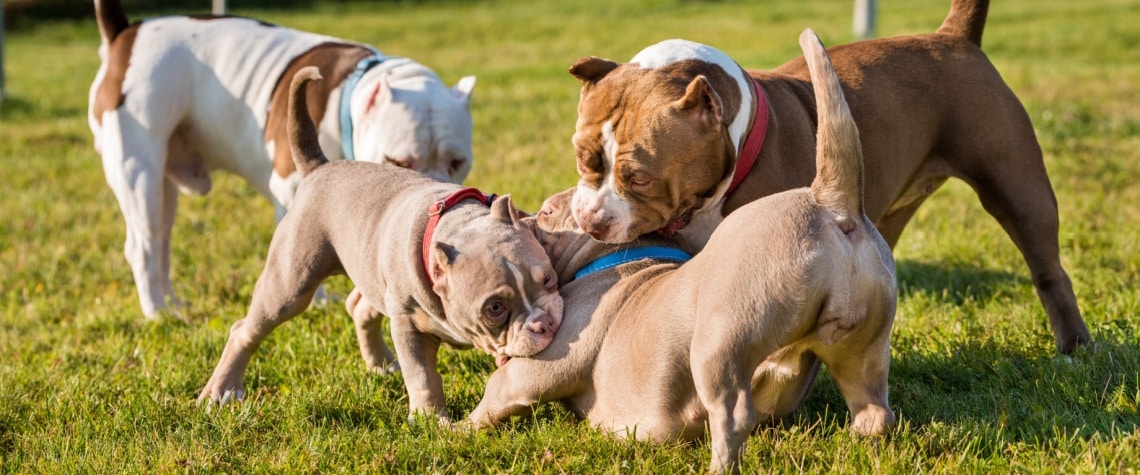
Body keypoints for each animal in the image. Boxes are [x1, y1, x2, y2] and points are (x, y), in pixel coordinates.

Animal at [88, 0, 476, 318]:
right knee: (143, 244)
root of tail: (125, 34)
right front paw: (319, 303)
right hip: (138, 172)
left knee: (162, 240)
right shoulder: (292, 189)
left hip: (163, 183)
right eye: (399, 161)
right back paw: (157, 312)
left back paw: (173, 304)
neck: (347, 98)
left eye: (457, 162)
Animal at [201, 66, 565, 421]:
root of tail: (318, 168)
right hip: (290, 283)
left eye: (549, 278)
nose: (544, 323)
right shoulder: (407, 326)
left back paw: (381, 364)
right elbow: (422, 375)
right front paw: (431, 419)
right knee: (247, 328)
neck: (460, 224)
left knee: (359, 307)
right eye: (495, 308)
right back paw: (221, 392)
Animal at [462, 30, 889, 473]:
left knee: (733, 415)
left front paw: (453, 428)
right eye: (582, 159)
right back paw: (860, 445)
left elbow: (495, 392)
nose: (521, 215)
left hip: (719, 345)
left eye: (546, 212)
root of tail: (830, 202)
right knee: (873, 409)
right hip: (863, 349)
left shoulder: (537, 366)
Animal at [565, 0, 1089, 350]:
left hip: (1017, 187)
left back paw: (1074, 345)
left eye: (640, 179)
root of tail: (953, 36)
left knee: (1048, 268)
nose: (590, 220)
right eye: (582, 158)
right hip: (889, 208)